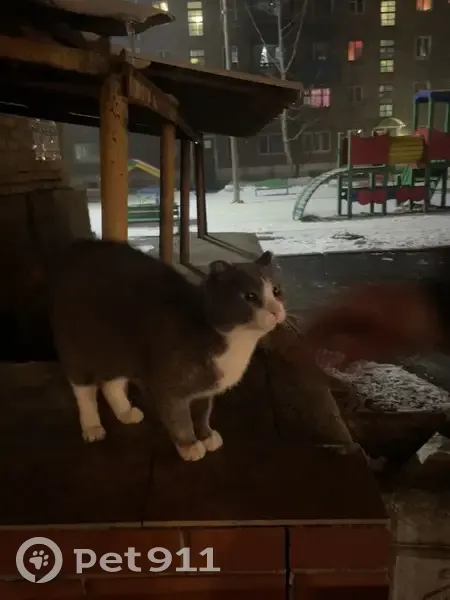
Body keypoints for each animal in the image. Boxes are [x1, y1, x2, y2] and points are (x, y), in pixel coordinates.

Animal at [50, 239, 286, 461]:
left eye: (276, 291)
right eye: (249, 296)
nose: (276, 310)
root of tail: (79, 248)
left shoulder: (205, 390)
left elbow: (202, 412)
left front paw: (206, 435)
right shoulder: (168, 387)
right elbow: (179, 419)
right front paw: (190, 446)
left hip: (118, 354)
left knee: (111, 384)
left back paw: (126, 412)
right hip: (78, 348)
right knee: (83, 389)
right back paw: (92, 427)